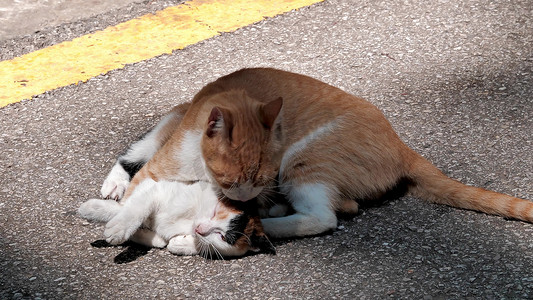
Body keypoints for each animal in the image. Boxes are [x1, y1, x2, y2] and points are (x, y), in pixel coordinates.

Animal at [102, 67, 528, 238]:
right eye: (231, 179)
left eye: (259, 178)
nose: (248, 199)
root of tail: (403, 146)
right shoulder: (158, 168)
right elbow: (137, 194)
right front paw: (123, 218)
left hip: (305, 160)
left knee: (326, 217)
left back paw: (267, 222)